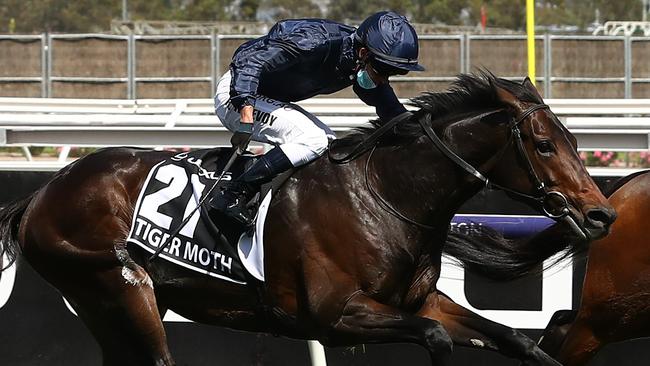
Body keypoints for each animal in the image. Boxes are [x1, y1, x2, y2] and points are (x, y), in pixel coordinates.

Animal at [0, 73, 612, 364]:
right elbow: (436, 339)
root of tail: (44, 192)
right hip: (120, 288)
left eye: (574, 140)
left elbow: (513, 339)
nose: (600, 213)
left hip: (103, 305)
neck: (386, 196)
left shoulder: (418, 302)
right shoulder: (336, 317)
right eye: (544, 145)